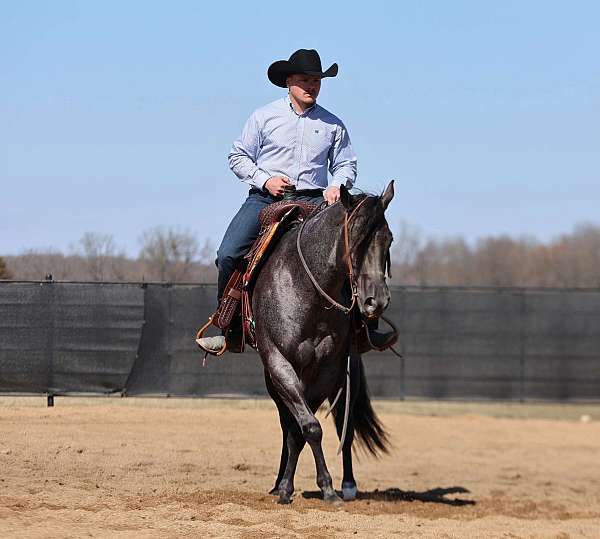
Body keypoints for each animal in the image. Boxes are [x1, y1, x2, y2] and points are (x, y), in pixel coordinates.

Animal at [252, 181, 396, 506]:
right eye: (355, 238)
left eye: (389, 239)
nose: (376, 302)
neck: (308, 291)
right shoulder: (279, 363)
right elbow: (304, 427)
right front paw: (286, 487)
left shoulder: (328, 370)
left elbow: (305, 429)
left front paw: (327, 488)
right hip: (274, 378)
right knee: (288, 422)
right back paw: (277, 483)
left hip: (347, 375)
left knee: (346, 425)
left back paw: (349, 485)